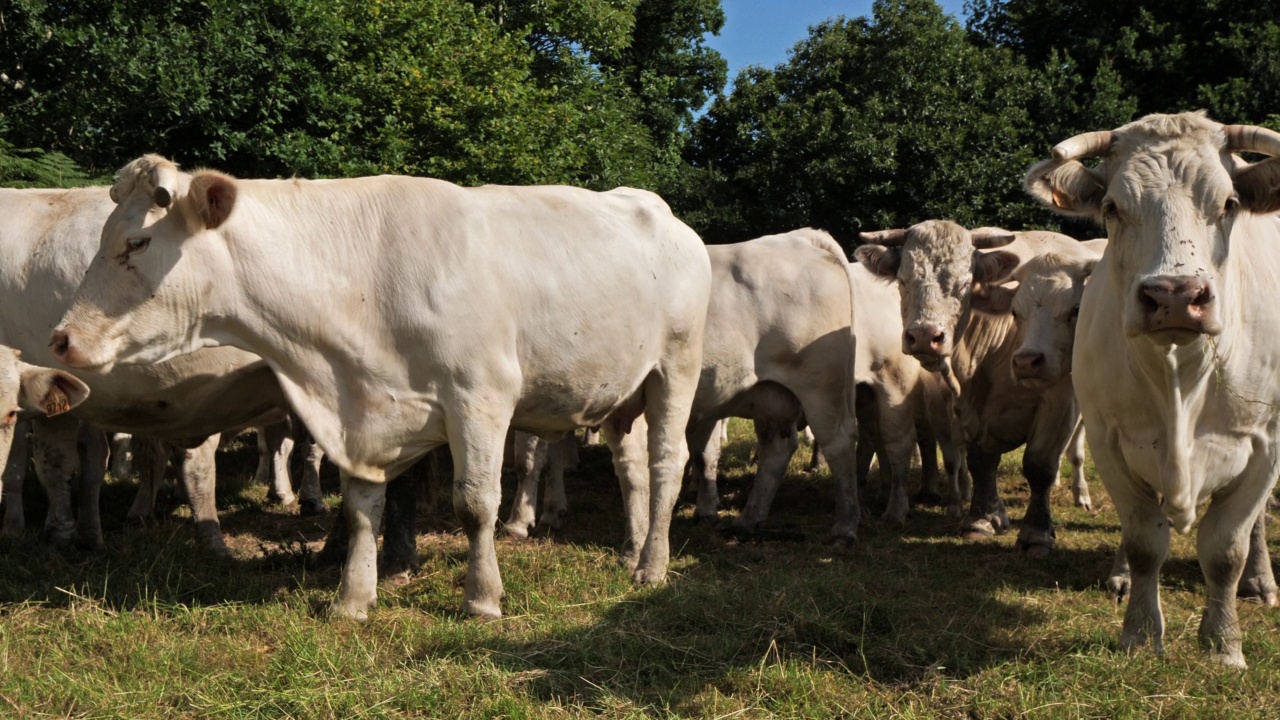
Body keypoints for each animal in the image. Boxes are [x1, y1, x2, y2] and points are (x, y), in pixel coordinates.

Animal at [52, 155, 711, 617]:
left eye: (136, 243)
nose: (61, 338)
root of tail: (661, 211)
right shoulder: (362, 410)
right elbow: (363, 507)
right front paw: (353, 598)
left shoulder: (480, 396)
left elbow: (475, 504)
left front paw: (482, 598)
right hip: (622, 395)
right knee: (631, 467)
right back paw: (630, 549)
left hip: (675, 367)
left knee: (666, 463)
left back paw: (653, 566)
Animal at [1024, 109, 1280, 666]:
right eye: (1112, 207)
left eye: (1229, 203)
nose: (1176, 295)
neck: (1179, 376)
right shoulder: (1109, 438)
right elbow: (1144, 541)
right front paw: (1139, 632)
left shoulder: (1266, 444)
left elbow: (1227, 547)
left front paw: (1224, 644)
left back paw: (1262, 581)